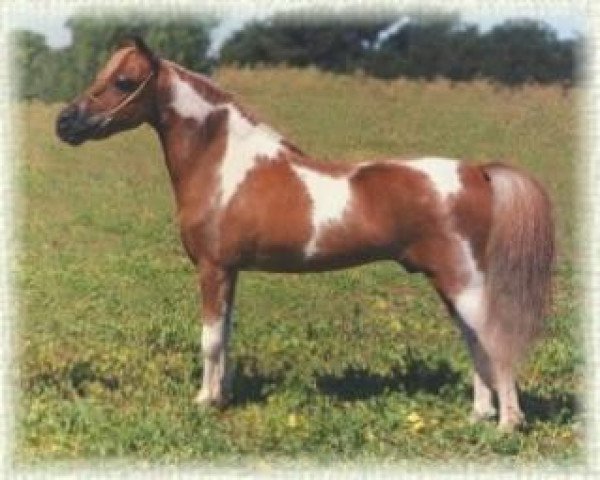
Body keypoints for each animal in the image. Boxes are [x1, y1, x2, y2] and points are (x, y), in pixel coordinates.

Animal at [55, 38, 552, 432]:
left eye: (124, 81)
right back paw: (480, 414)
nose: (65, 123)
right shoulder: (230, 271)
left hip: (463, 282)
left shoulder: (212, 269)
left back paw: (508, 424)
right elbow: (226, 336)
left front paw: (203, 402)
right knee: (475, 340)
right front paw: (222, 397)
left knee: (494, 340)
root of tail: (477, 172)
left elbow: (210, 340)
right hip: (451, 283)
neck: (225, 166)